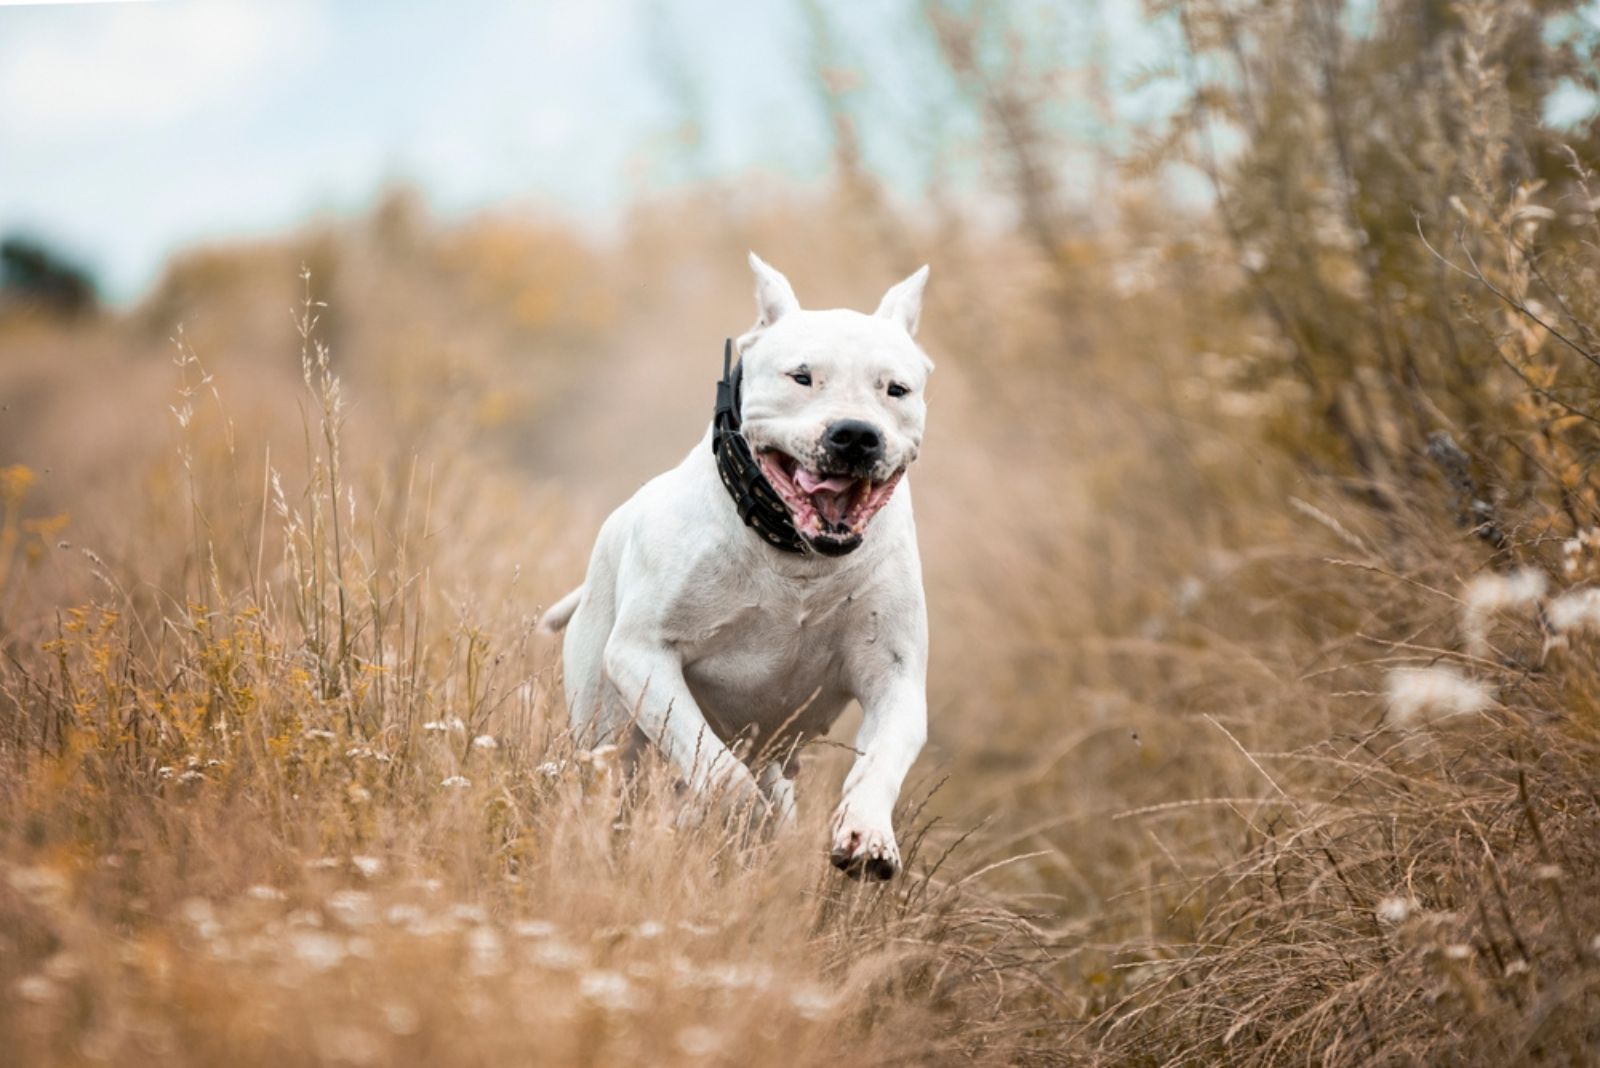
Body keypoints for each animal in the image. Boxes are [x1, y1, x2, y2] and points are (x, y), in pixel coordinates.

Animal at [544, 255, 934, 876]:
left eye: (896, 389)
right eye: (802, 377)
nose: (855, 434)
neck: (795, 554)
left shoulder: (895, 677)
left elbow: (883, 759)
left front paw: (868, 832)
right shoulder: (642, 656)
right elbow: (718, 770)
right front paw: (739, 815)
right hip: (606, 730)